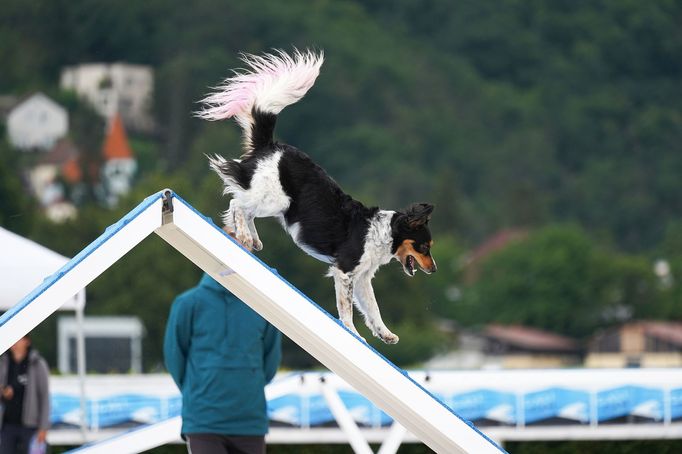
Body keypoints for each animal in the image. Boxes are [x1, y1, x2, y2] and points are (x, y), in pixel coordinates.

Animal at [195, 49, 436, 344]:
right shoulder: (345, 271)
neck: (384, 233)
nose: (434, 270)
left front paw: (385, 334)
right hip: (277, 200)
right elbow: (346, 311)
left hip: (274, 201)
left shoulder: (363, 277)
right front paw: (353, 334)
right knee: (237, 204)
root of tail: (272, 145)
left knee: (242, 206)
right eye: (424, 247)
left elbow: (373, 308)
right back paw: (243, 235)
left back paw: (253, 239)